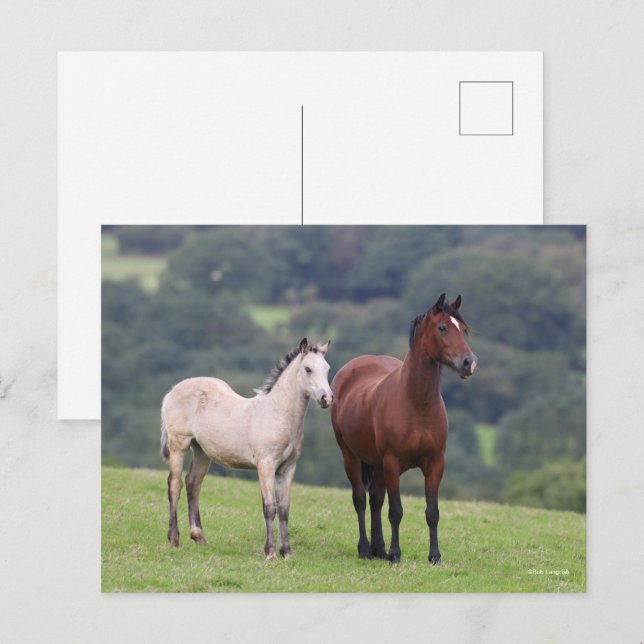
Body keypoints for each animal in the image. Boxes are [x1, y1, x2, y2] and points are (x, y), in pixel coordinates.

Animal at [160, 337, 333, 560]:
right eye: (308, 369)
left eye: (327, 369)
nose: (327, 399)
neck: (277, 413)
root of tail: (172, 390)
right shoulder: (265, 465)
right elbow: (269, 508)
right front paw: (270, 553)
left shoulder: (288, 468)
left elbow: (284, 509)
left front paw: (287, 552)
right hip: (178, 445)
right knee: (175, 485)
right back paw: (174, 539)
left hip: (202, 451)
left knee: (193, 484)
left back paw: (199, 537)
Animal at [330, 294, 477, 565]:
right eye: (442, 328)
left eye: (463, 329)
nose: (469, 363)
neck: (417, 403)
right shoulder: (392, 463)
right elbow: (396, 511)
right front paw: (396, 554)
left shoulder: (435, 464)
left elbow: (432, 512)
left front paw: (434, 556)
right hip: (351, 457)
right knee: (361, 499)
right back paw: (365, 549)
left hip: (376, 464)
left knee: (375, 500)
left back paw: (378, 549)